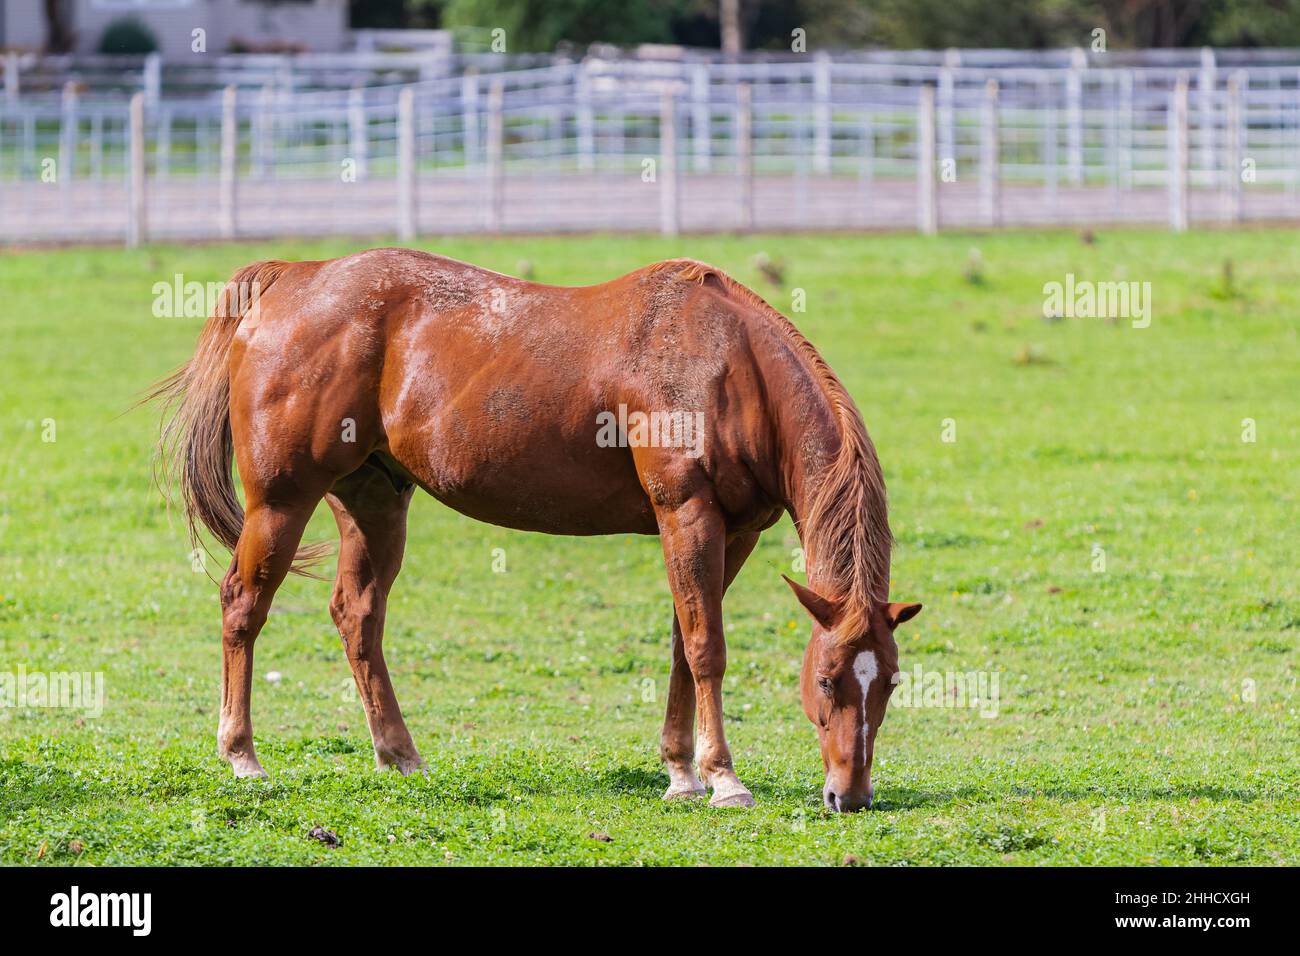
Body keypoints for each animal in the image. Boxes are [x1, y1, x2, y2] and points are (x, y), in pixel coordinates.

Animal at [149, 248, 921, 812]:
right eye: (826, 681)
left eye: (888, 683)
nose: (851, 796)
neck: (728, 362)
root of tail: (293, 278)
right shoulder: (687, 514)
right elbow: (707, 648)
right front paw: (723, 778)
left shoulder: (735, 534)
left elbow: (683, 641)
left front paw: (680, 770)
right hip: (281, 504)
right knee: (243, 606)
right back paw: (243, 755)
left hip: (373, 501)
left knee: (357, 617)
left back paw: (399, 754)